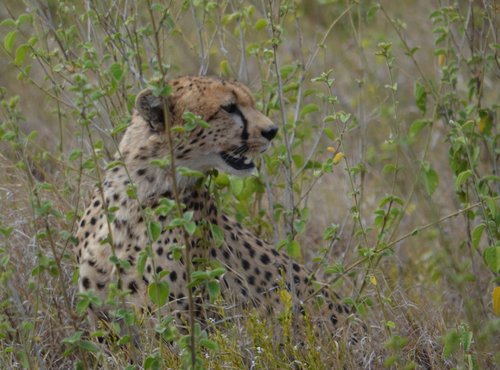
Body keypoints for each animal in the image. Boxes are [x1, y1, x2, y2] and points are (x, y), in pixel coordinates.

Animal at [76, 75, 354, 338]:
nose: (272, 130)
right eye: (229, 107)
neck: (136, 197)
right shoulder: (101, 316)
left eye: (250, 103)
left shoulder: (172, 319)